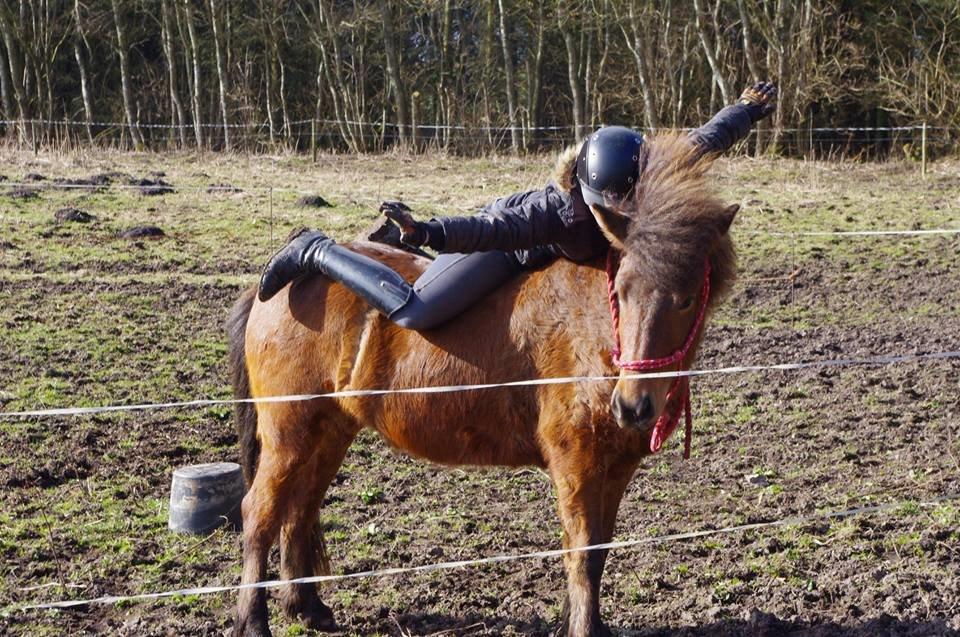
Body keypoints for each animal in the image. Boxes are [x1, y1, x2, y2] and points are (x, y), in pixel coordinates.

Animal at [229, 132, 740, 632]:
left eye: (688, 298)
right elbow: (580, 554)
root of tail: (272, 291)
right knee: (259, 513)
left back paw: (307, 607)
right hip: (289, 431)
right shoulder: (577, 465)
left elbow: (597, 554)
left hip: (329, 430)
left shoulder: (616, 468)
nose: (634, 407)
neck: (594, 331)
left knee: (299, 509)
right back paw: (253, 621)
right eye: (622, 291)